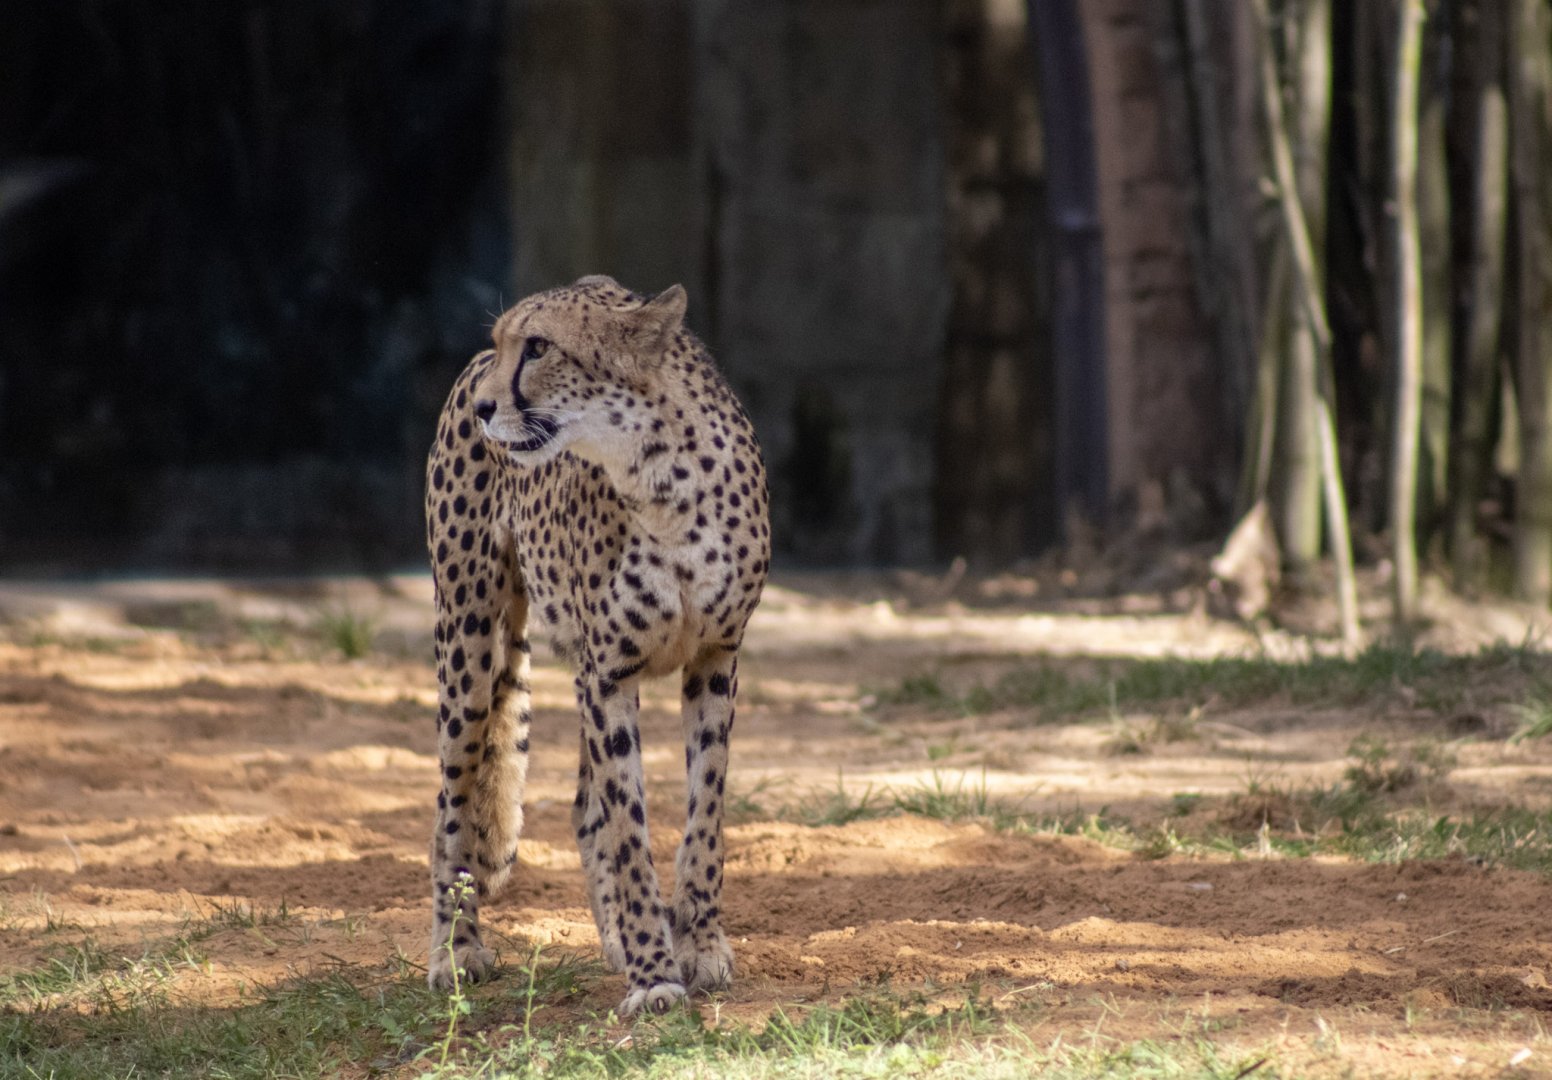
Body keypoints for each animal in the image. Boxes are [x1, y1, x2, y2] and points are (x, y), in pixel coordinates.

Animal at [422, 275, 770, 1017]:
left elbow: (702, 817)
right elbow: (629, 829)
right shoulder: (609, 674)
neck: (663, 480)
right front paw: (654, 975)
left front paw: (698, 945)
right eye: (508, 342)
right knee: (452, 805)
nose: (488, 407)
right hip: (468, 644)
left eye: (539, 347)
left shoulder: (715, 659)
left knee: (583, 807)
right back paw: (456, 950)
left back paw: (614, 942)